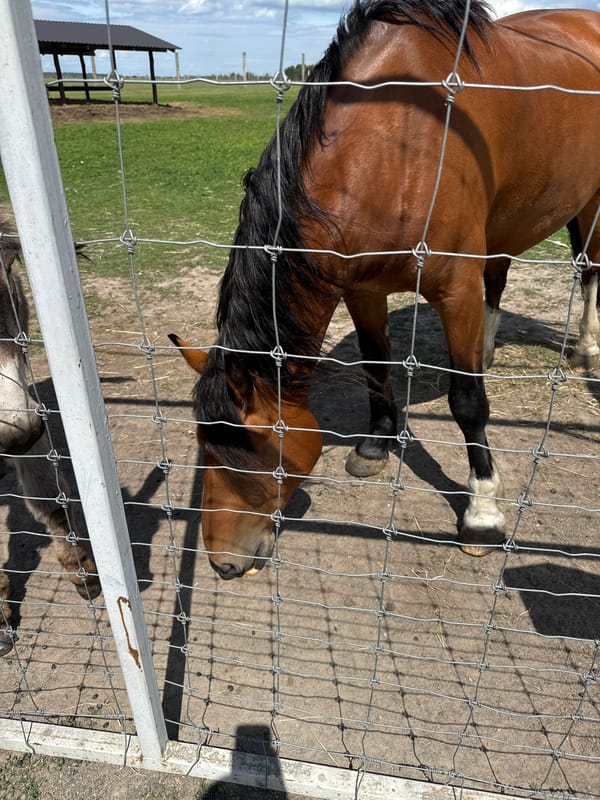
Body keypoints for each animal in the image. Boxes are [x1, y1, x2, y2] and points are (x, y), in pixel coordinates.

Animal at [170, 0, 600, 580]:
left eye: (254, 451)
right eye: (203, 445)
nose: (222, 564)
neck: (394, 144)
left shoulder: (454, 289)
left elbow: (468, 404)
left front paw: (483, 512)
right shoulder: (362, 288)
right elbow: (377, 364)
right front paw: (375, 446)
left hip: (592, 202)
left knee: (589, 270)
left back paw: (587, 349)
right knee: (499, 277)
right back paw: (486, 350)